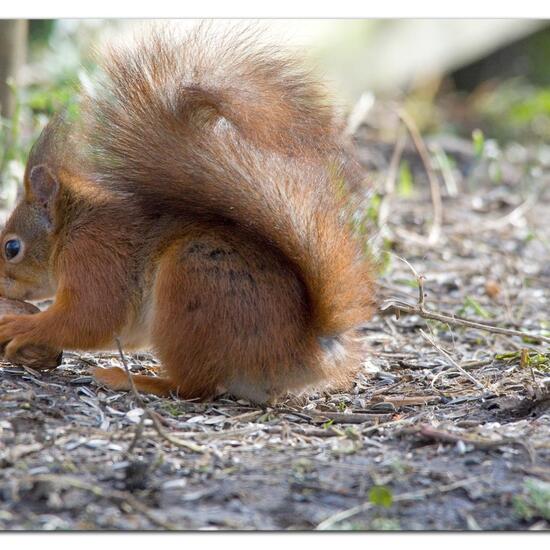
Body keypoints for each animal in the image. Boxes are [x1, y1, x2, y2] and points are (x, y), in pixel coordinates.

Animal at [0, 23, 378, 404]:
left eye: (11, 248)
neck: (71, 227)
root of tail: (303, 354)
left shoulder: (94, 257)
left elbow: (90, 318)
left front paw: (20, 326)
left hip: (191, 282)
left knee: (193, 386)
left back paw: (132, 379)